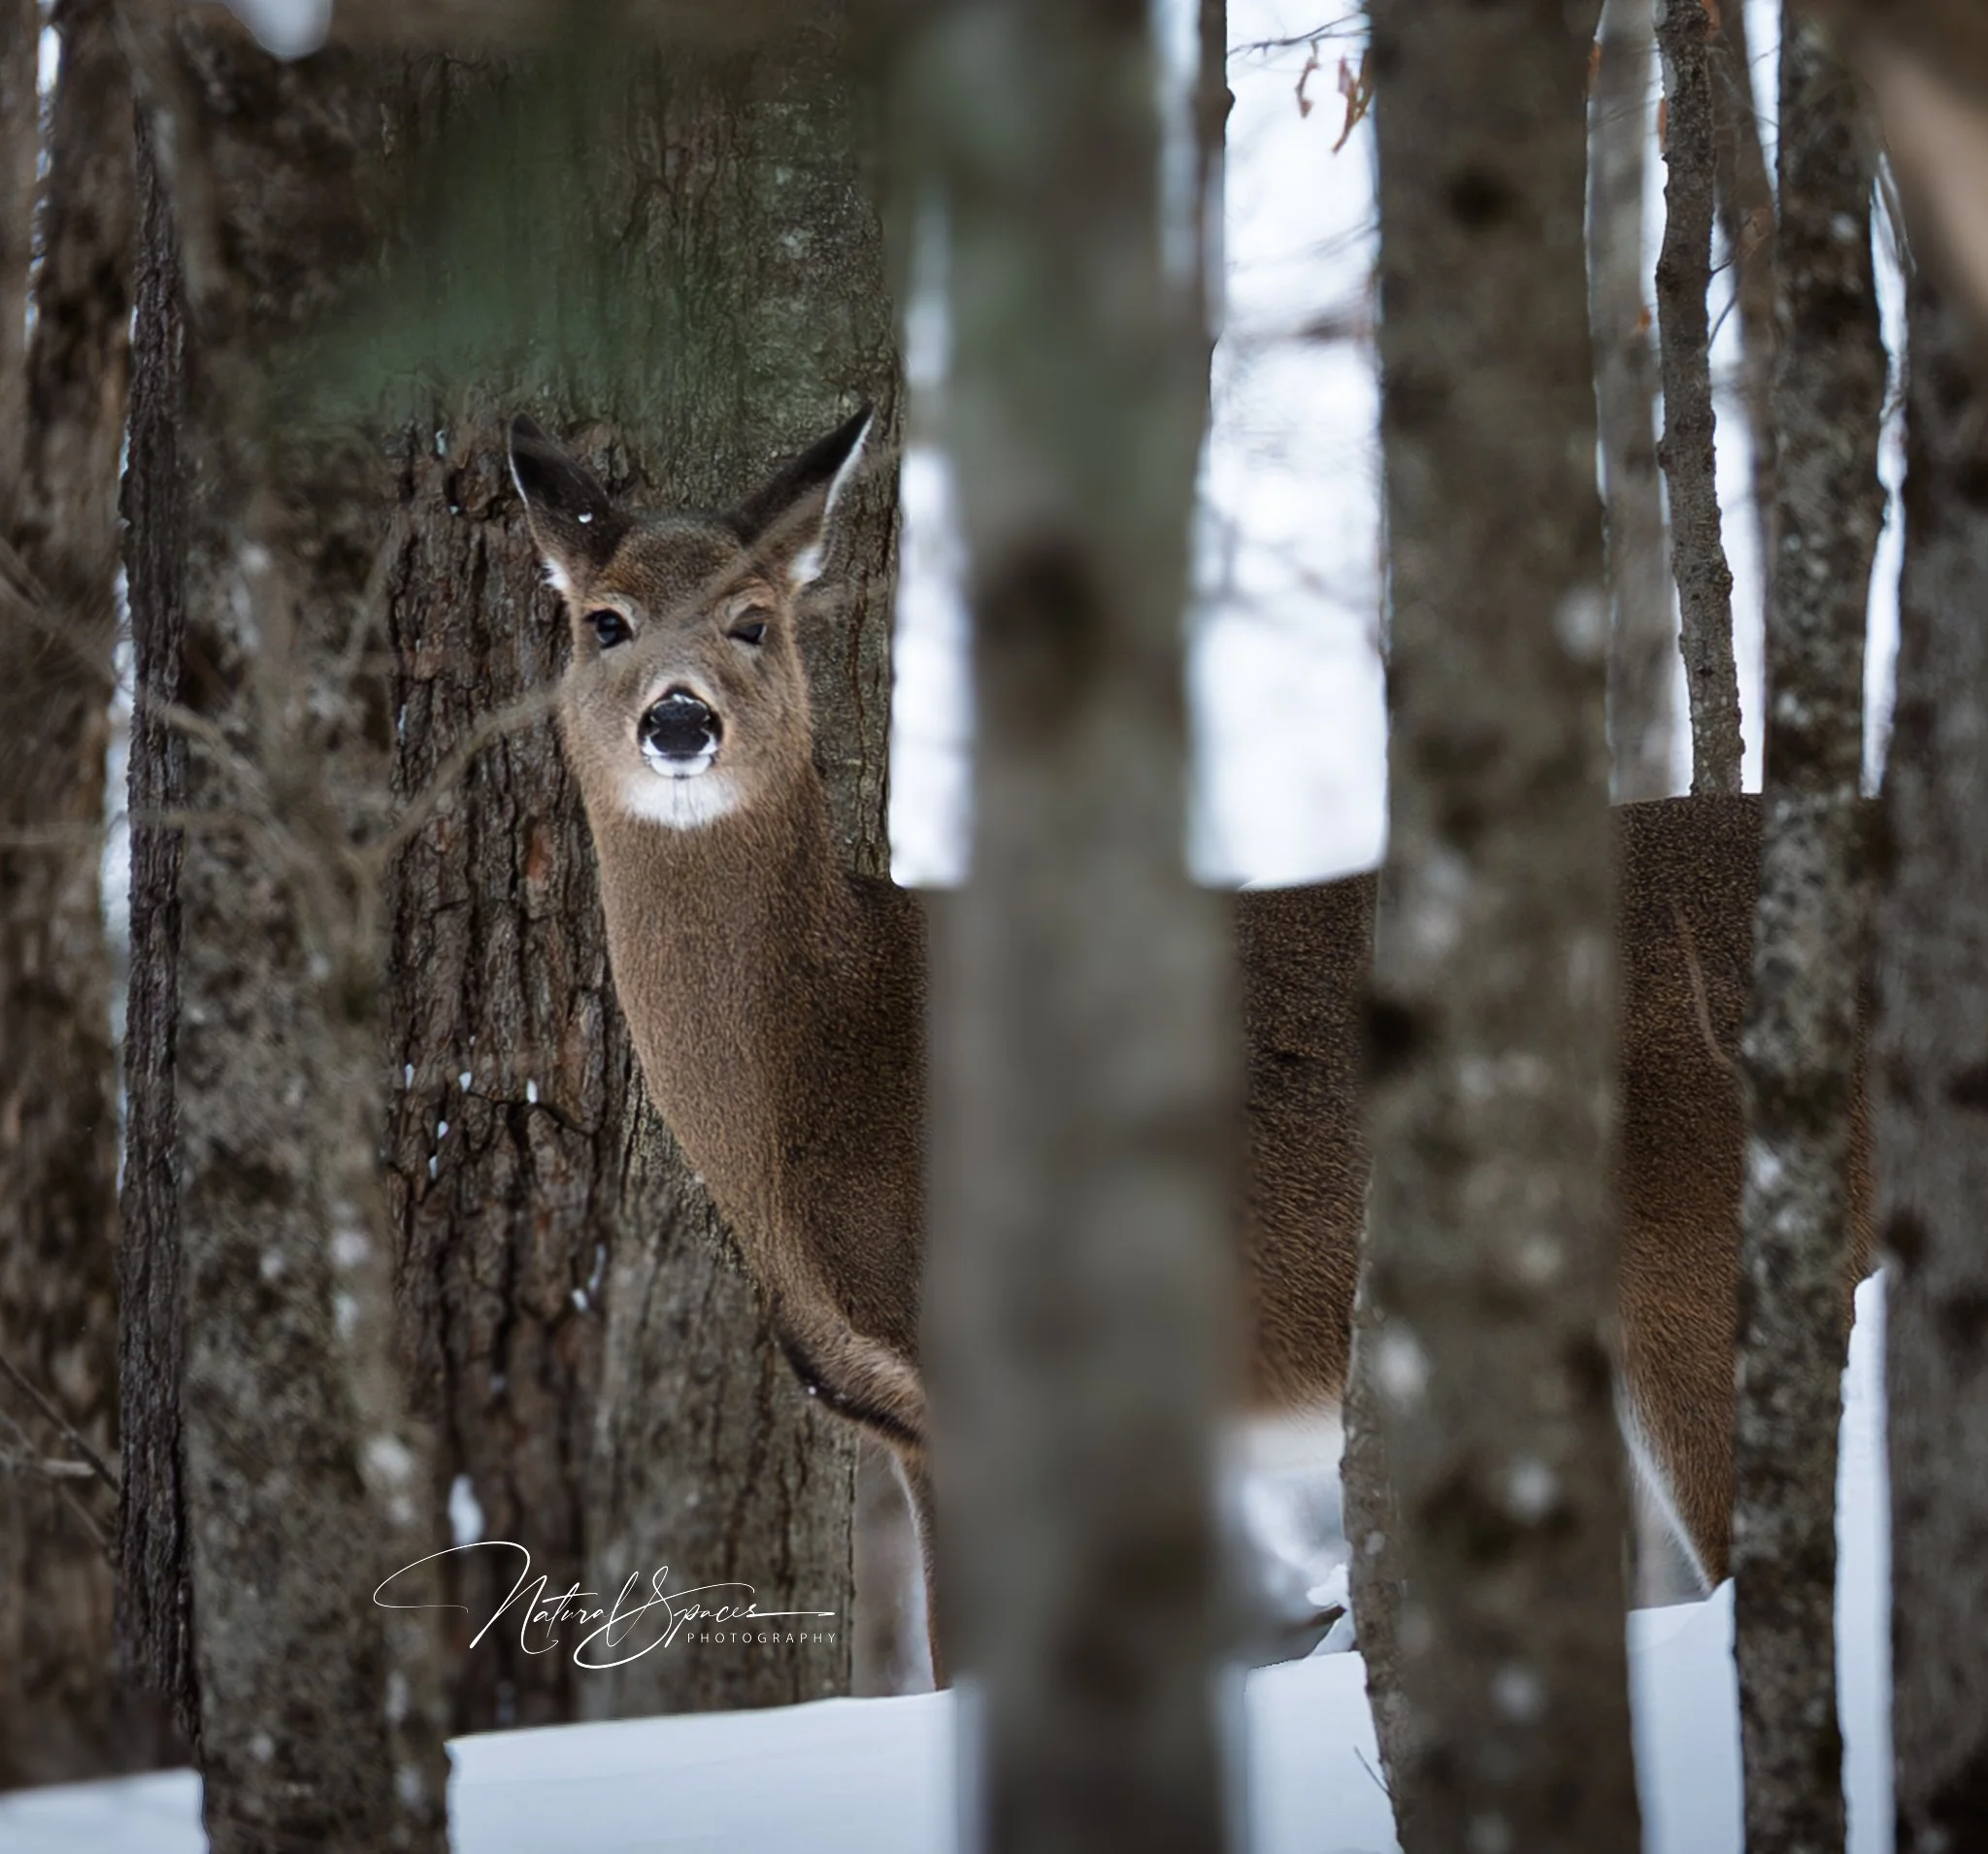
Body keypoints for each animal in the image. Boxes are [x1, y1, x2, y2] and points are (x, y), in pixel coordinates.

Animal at [505, 406, 1872, 1670]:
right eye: (605, 622)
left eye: (751, 620)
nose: (680, 721)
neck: (827, 1061)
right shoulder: (912, 1427)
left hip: (1697, 1251)